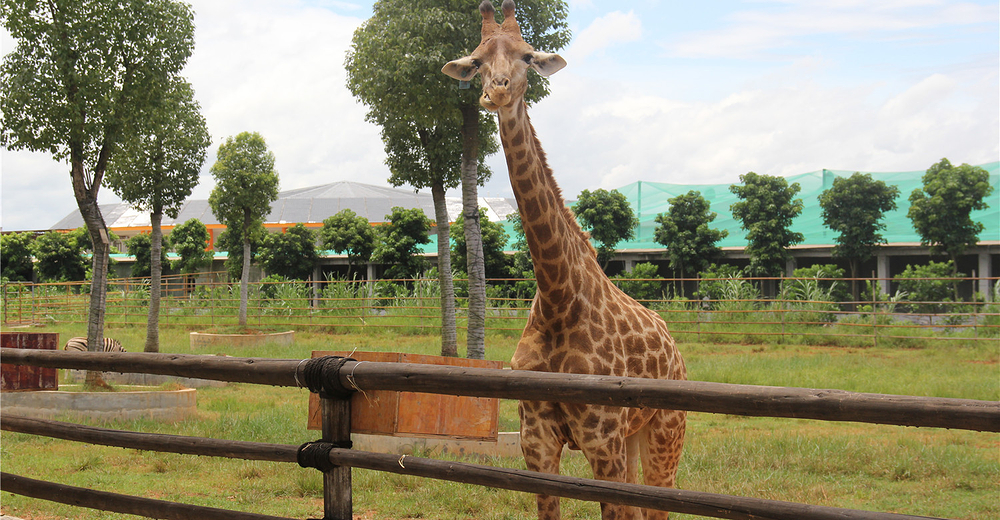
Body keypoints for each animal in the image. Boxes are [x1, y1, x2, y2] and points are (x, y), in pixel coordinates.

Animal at [446, 2, 688, 516]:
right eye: (476, 61)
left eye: (527, 55)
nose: (497, 91)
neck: (558, 298)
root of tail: (675, 349)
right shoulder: (537, 438)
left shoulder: (601, 438)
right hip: (633, 437)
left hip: (665, 429)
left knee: (659, 500)